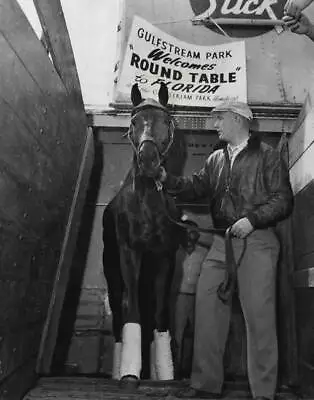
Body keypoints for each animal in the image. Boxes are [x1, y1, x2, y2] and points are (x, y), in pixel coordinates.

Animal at [102, 83, 188, 388]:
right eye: (133, 122)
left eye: (167, 121)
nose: (149, 160)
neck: (149, 204)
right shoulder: (130, 255)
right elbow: (132, 311)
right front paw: (130, 373)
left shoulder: (165, 259)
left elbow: (160, 316)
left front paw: (166, 374)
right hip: (113, 274)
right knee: (119, 315)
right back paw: (118, 370)